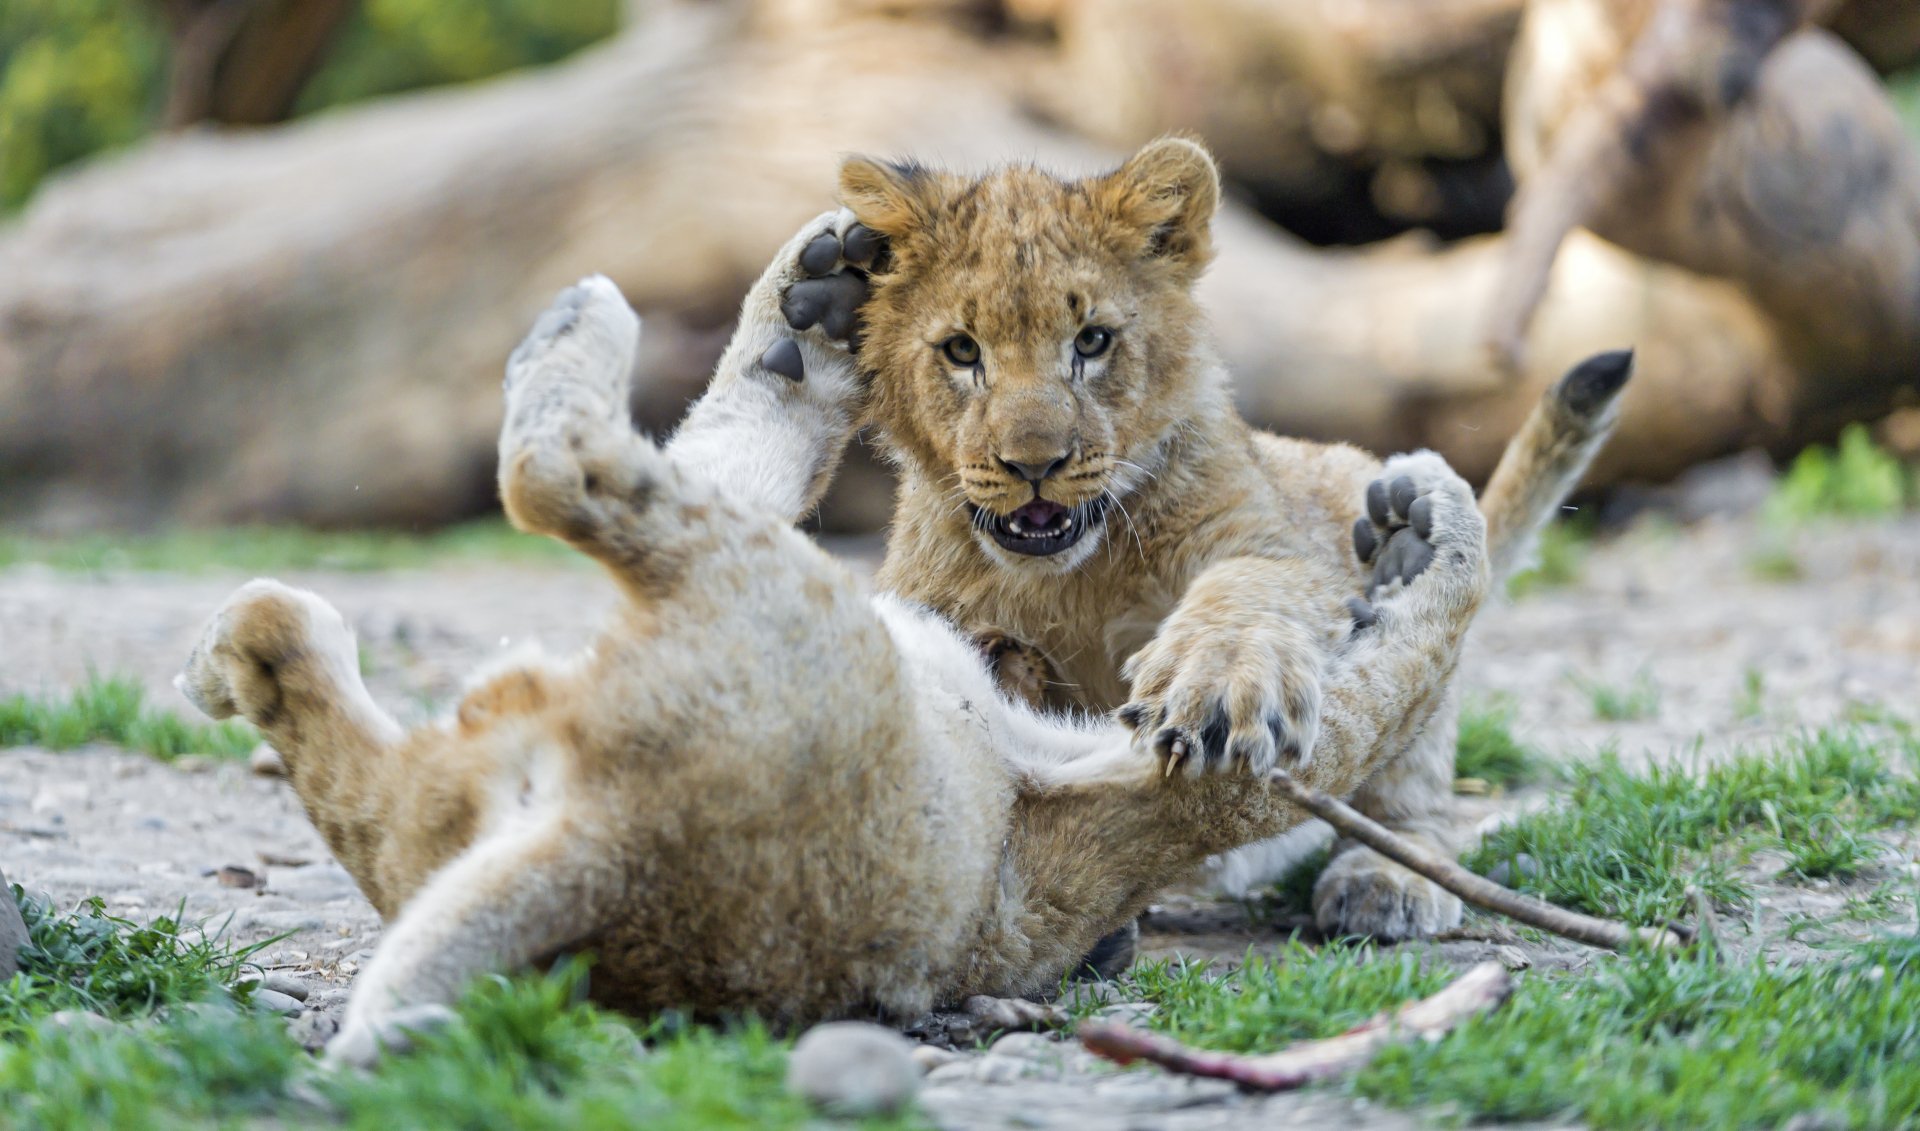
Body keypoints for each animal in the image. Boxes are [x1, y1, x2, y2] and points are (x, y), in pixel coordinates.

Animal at [175, 204, 1612, 1063]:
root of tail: (605, 853)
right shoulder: (1160, 778)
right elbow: (1404, 650)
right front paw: (1424, 537)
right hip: (791, 604)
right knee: (558, 471)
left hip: (531, 740)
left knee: (309, 622)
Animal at [759, 136, 1631, 943]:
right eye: (962, 351)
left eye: (1092, 341)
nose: (1034, 465)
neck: (1066, 578)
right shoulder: (920, 606)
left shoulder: (1272, 542)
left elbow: (1245, 595)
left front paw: (1215, 686)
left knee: (1411, 777)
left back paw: (1386, 868)